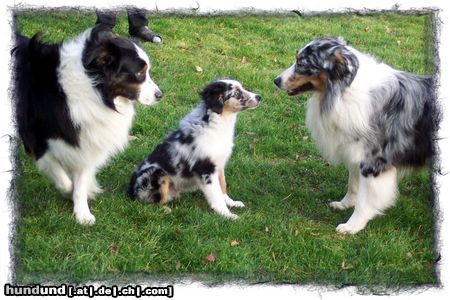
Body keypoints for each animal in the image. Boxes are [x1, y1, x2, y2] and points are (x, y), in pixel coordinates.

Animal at [12, 24, 163, 224]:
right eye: (139, 72)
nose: (160, 95)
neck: (93, 88)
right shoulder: (37, 140)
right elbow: (62, 178)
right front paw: (71, 193)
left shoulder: (88, 138)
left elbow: (81, 179)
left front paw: (82, 212)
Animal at [272, 37, 438, 234]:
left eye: (302, 63)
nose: (276, 80)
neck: (342, 93)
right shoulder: (354, 152)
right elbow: (353, 184)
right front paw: (344, 204)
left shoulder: (373, 161)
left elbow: (364, 200)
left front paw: (352, 226)